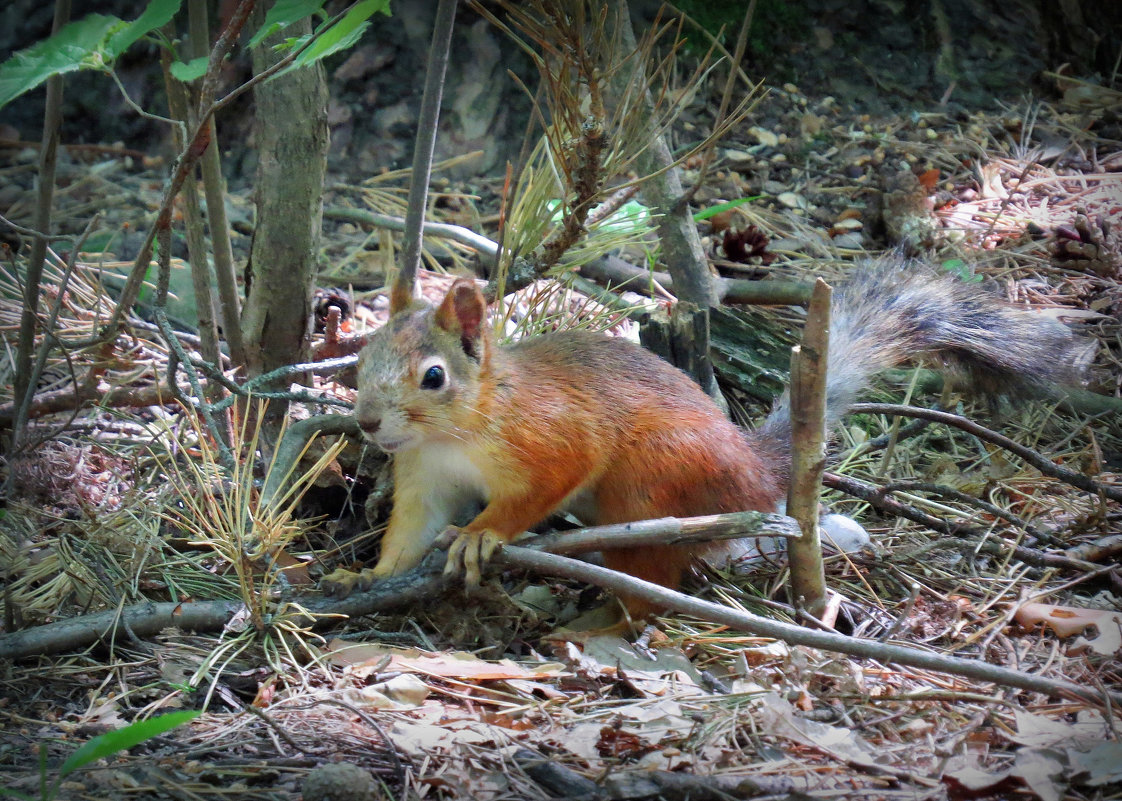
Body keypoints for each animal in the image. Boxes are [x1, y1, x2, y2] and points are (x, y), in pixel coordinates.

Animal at [320, 259, 1090, 614]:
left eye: (433, 376)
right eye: (362, 357)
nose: (366, 422)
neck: (461, 428)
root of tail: (753, 472)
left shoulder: (550, 435)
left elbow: (544, 482)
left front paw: (484, 533)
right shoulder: (424, 479)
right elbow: (410, 534)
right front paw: (368, 577)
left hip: (651, 480)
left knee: (655, 589)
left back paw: (601, 627)